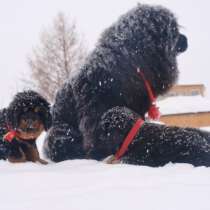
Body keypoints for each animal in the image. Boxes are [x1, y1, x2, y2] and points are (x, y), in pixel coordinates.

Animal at [42, 3, 203, 166]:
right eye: (174, 31)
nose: (186, 39)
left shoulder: (137, 107)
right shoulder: (94, 111)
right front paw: (96, 155)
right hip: (62, 133)